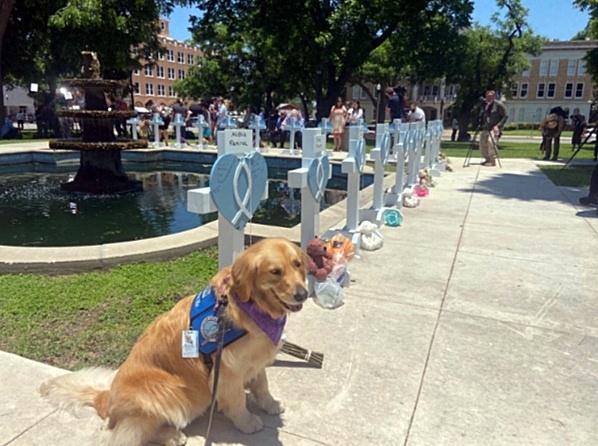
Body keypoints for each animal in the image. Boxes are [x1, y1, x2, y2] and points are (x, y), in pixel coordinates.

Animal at [39, 240, 310, 446]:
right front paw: (247, 422)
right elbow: (237, 401)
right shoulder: (227, 372)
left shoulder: (255, 360)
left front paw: (271, 404)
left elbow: (262, 385)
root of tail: (105, 399)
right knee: (124, 436)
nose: (303, 294)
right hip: (167, 391)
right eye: (275, 272)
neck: (251, 306)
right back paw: (171, 436)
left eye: (297, 264)